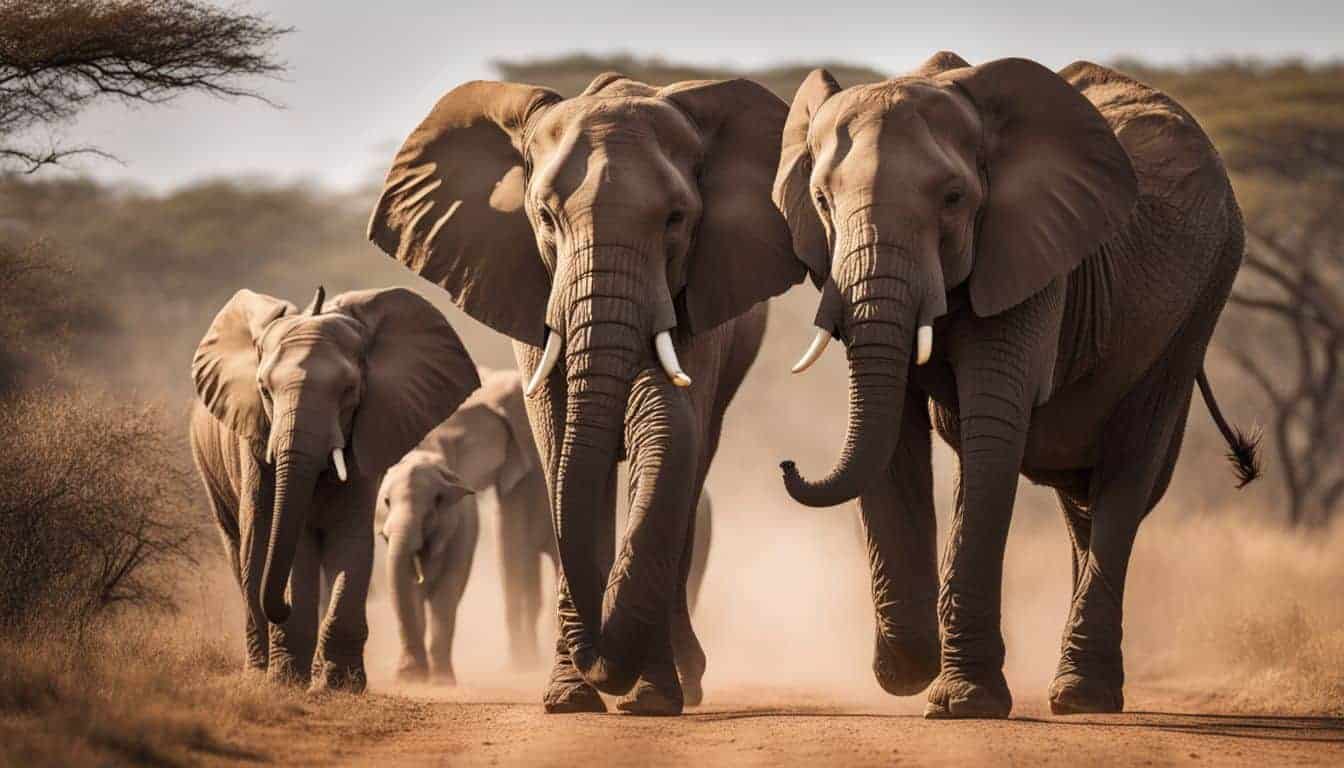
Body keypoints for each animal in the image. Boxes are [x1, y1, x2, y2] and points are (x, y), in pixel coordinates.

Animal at [189, 285, 481, 694]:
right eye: (264, 390)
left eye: (348, 391)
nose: (282, 607)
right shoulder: (256, 436)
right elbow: (286, 540)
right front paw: (286, 681)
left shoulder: (371, 428)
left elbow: (350, 538)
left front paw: (340, 685)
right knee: (242, 547)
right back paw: (260, 671)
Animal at [379, 368, 715, 683]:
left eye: (458, 443)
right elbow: (514, 555)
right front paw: (521, 665)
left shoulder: (527, 466)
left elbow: (517, 554)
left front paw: (523, 666)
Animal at [774, 54, 1252, 720]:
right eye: (822, 200)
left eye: (953, 199)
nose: (787, 465)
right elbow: (894, 432)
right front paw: (907, 670)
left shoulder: (1028, 255)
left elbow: (991, 432)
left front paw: (958, 700)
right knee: (1085, 500)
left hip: (1201, 299)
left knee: (1128, 471)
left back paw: (1082, 697)